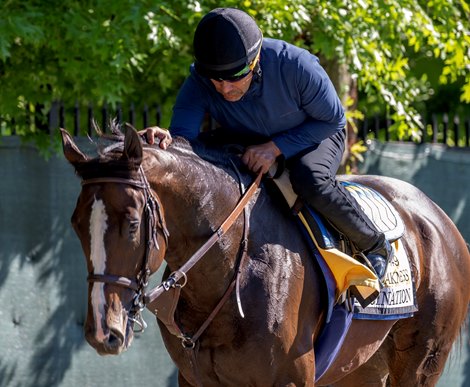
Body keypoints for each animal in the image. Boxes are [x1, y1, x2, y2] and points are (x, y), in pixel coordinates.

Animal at [60, 125, 468, 387]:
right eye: (77, 224)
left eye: (132, 224)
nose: (103, 330)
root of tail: (440, 220)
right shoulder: (194, 379)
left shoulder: (290, 378)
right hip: (360, 368)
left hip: (418, 363)